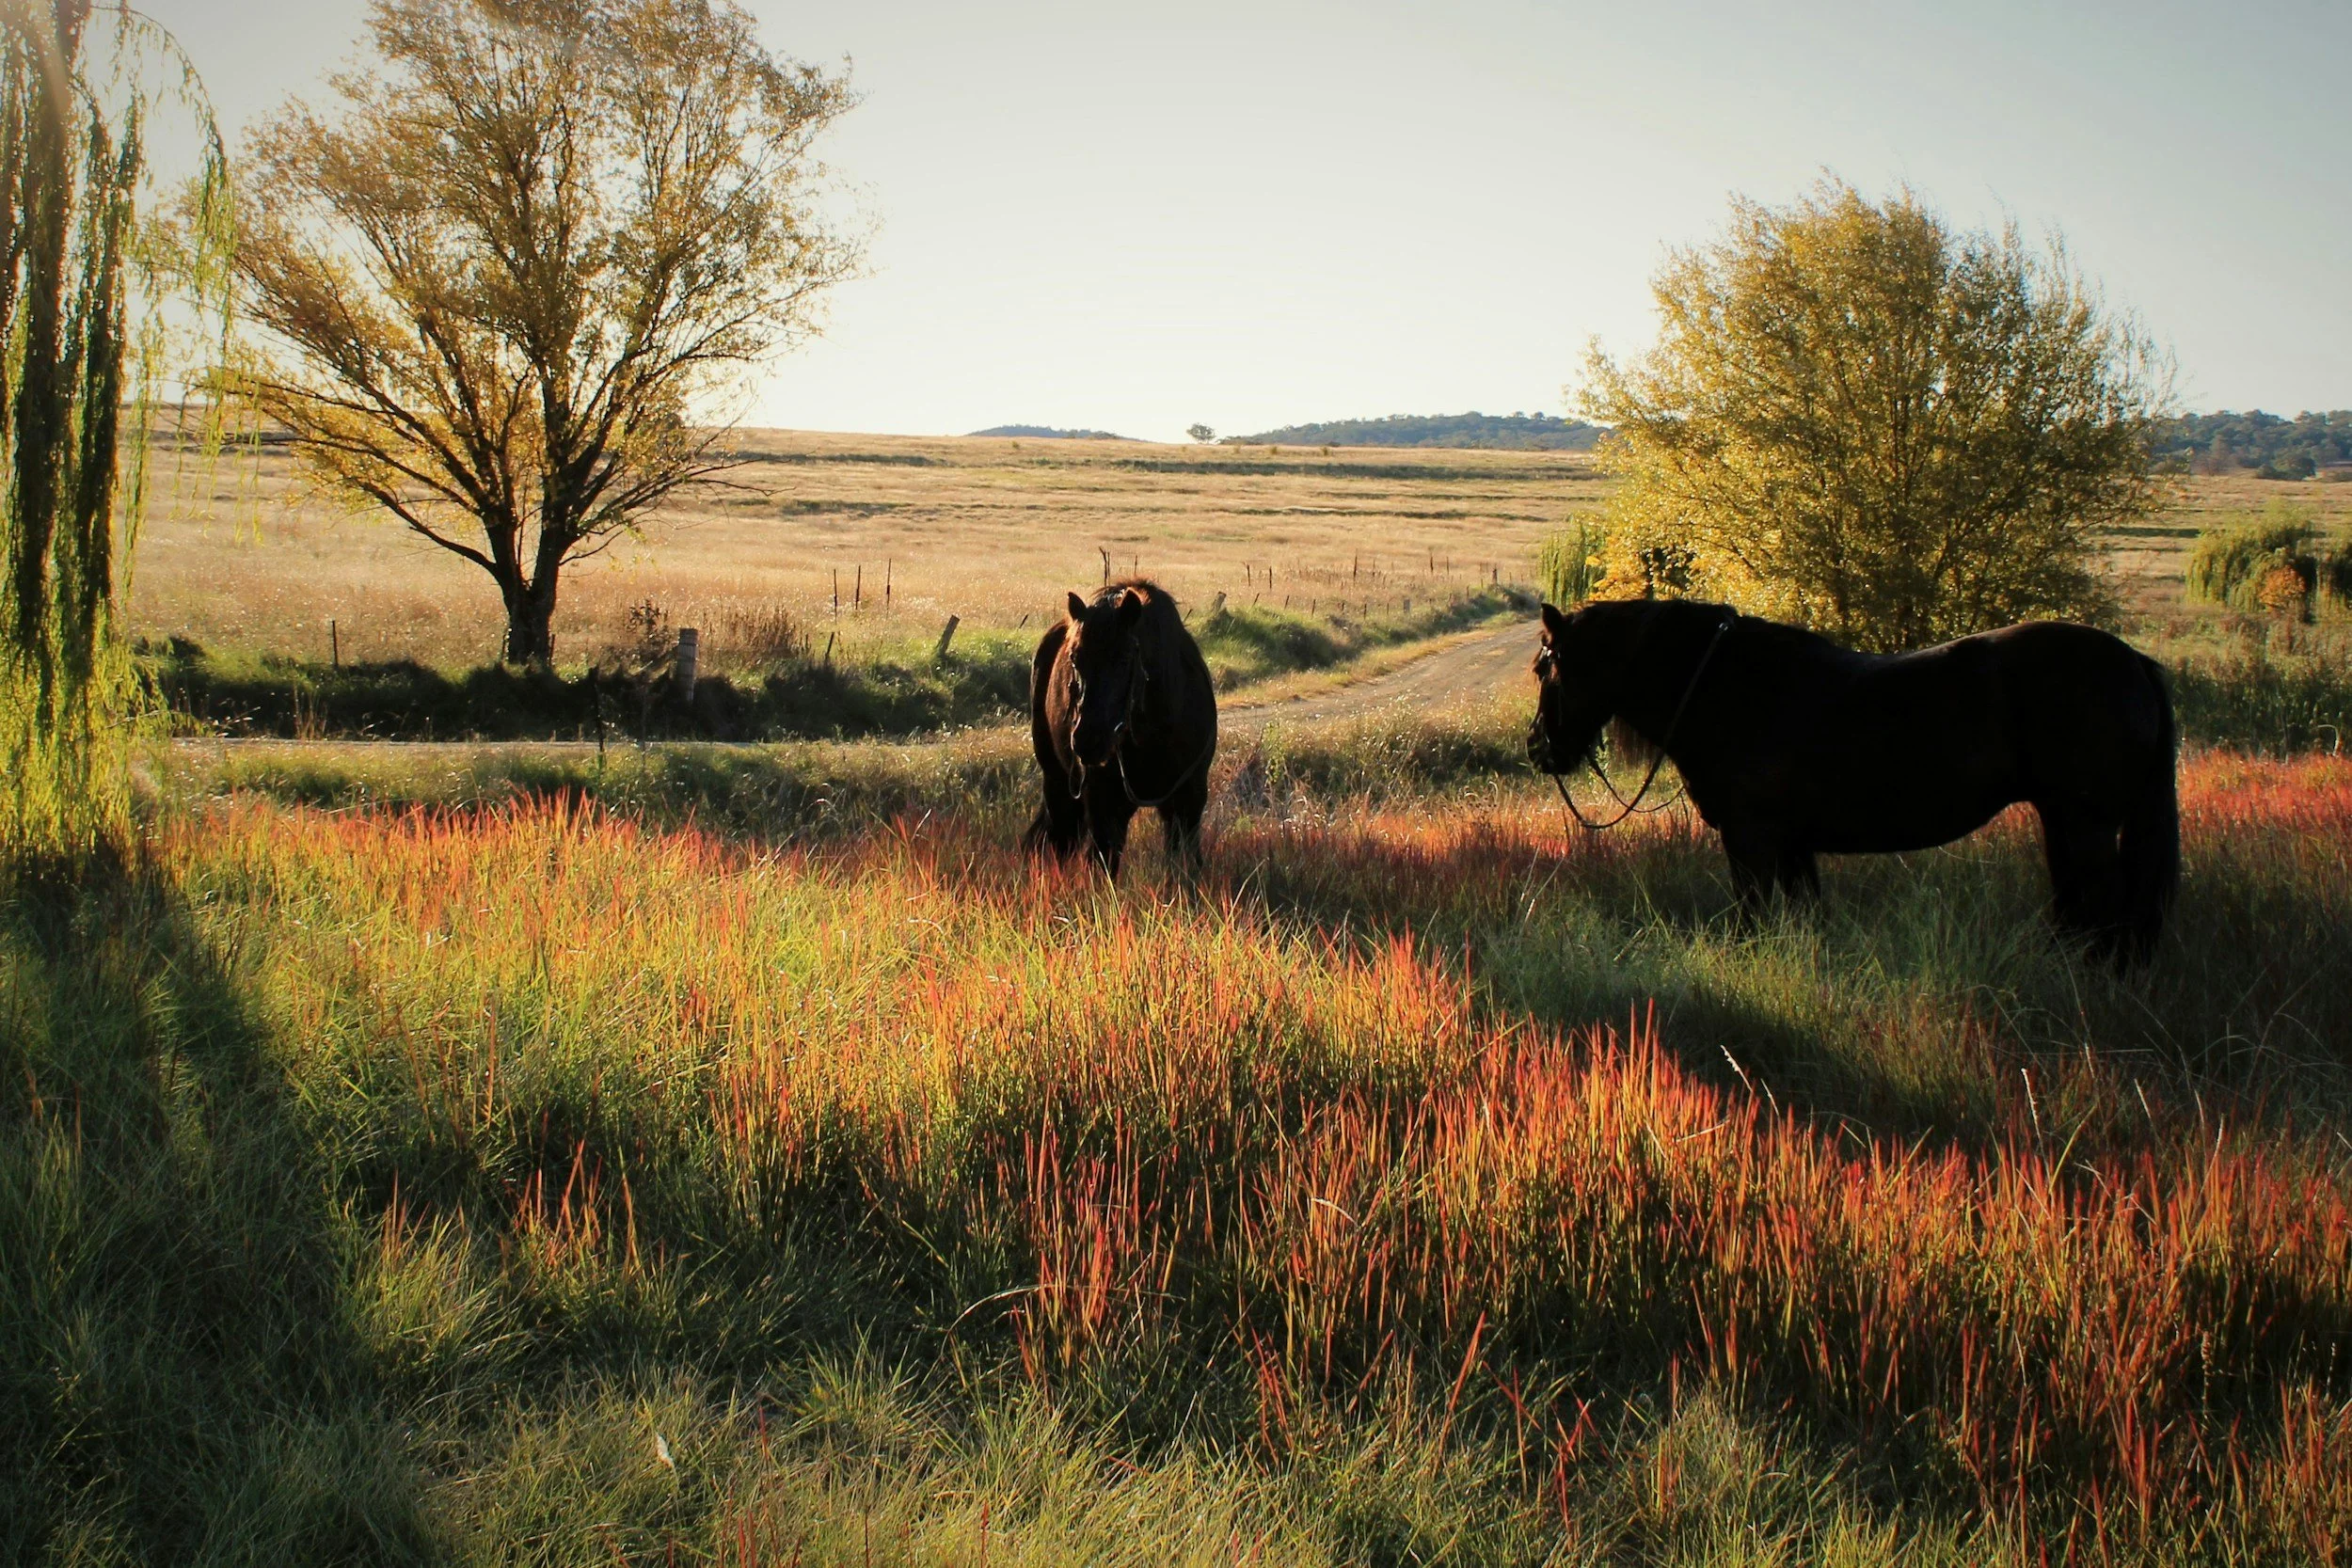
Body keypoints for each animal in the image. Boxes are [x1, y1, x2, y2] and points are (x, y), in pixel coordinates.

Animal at [1024, 579, 1218, 877]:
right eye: (1074, 658)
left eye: (1125, 657)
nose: (1088, 740)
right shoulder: (1105, 805)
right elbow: (1101, 865)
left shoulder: (1188, 800)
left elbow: (1184, 864)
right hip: (1056, 780)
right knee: (1061, 838)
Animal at [1525, 598, 2179, 965]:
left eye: (1544, 666)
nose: (1538, 749)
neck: (1726, 688)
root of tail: (2132, 662)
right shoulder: (1793, 845)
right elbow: (1803, 919)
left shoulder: (1752, 840)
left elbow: (1754, 919)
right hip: (2062, 820)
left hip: (2087, 824)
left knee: (2105, 906)